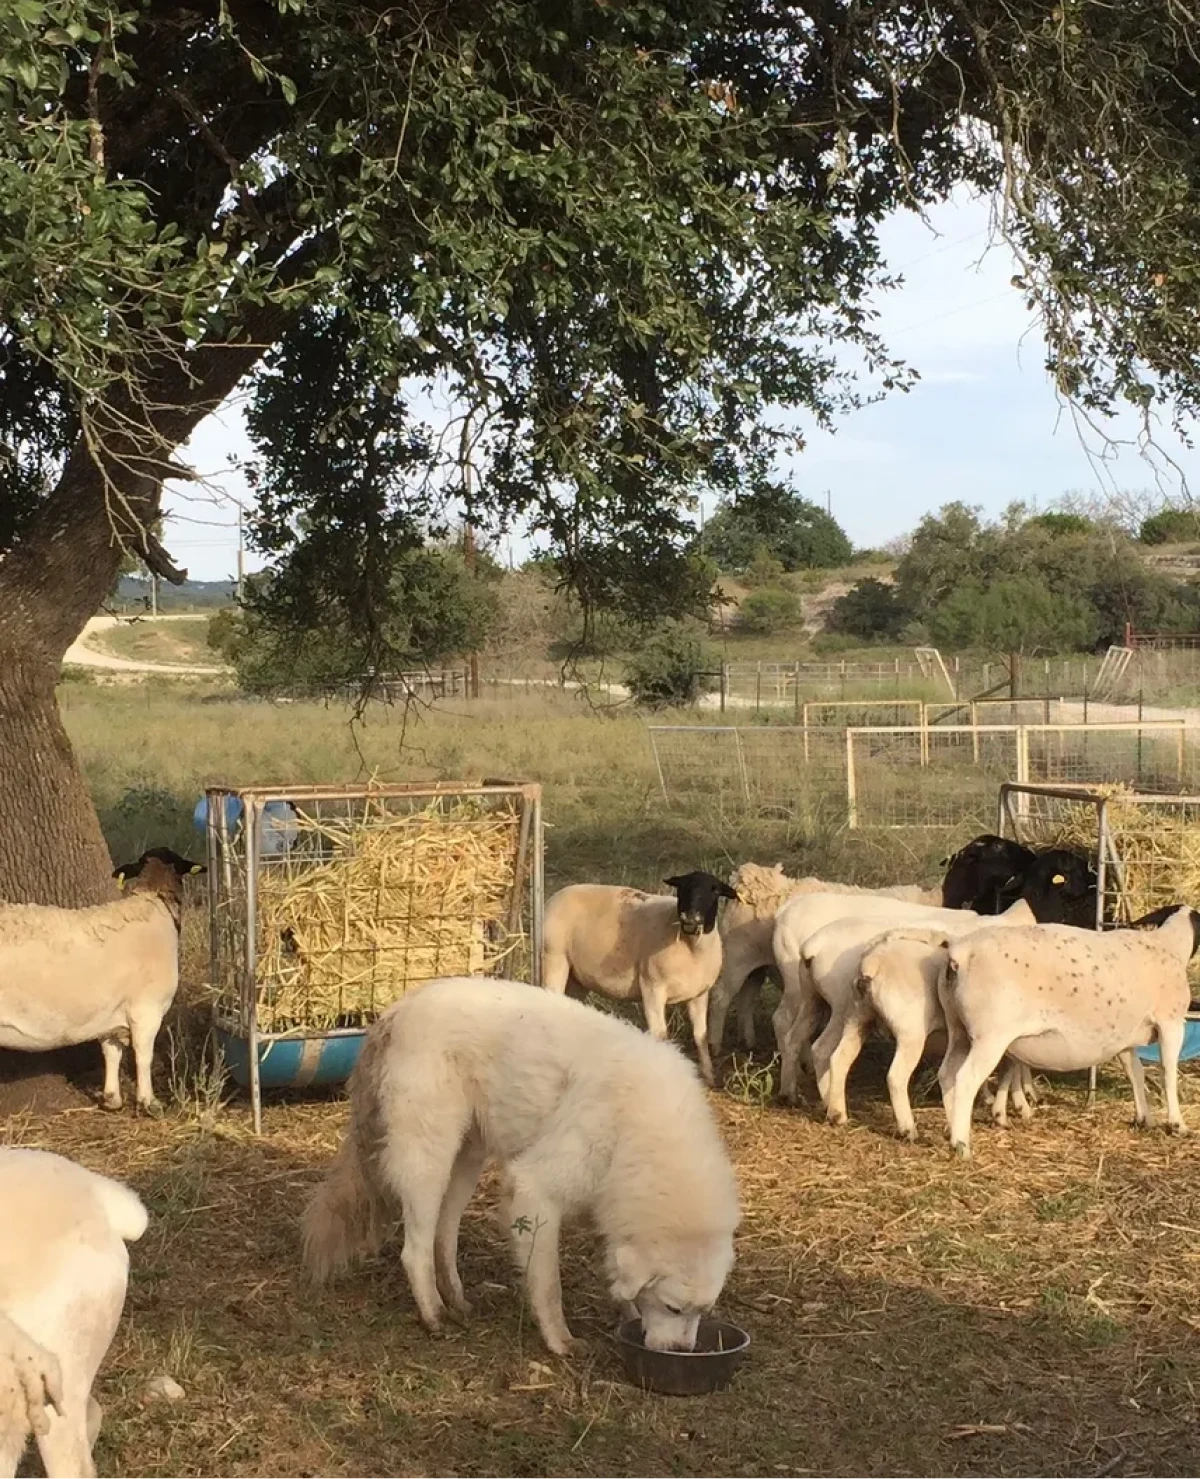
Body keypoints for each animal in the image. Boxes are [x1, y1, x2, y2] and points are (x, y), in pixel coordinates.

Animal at [0, 847, 205, 1113]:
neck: (154, 904)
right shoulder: (146, 1010)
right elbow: (143, 1056)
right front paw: (149, 1102)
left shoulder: (111, 1012)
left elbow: (111, 1052)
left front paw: (112, 1098)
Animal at [542, 871, 738, 1086]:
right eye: (682, 888)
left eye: (715, 890)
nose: (690, 917)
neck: (691, 947)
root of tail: (557, 895)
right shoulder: (652, 987)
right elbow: (660, 1034)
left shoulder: (700, 994)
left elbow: (700, 1034)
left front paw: (709, 1075)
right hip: (554, 958)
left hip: (577, 977)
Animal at [707, 862, 943, 1058]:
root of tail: (748, 879)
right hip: (739, 958)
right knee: (723, 997)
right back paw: (715, 1046)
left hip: (759, 966)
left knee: (747, 997)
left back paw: (749, 1041)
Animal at [937, 905, 1200, 1157]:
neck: (1171, 945)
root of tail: (960, 955)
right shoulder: (1171, 1022)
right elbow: (1168, 1073)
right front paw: (1177, 1124)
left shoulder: (1125, 1039)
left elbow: (1135, 1072)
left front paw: (1144, 1118)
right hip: (990, 1036)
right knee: (966, 1079)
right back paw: (962, 1146)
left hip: (959, 1030)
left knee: (947, 1074)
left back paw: (953, 1133)